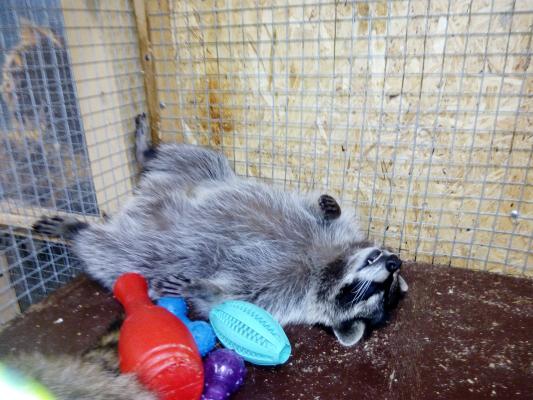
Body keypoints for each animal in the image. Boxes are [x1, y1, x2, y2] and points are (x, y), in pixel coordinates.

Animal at [34, 114, 408, 346]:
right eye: (384, 283)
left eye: (381, 293)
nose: (396, 263)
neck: (331, 264)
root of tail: (141, 199)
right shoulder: (337, 239)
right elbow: (324, 215)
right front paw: (330, 207)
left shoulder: (287, 293)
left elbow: (236, 295)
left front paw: (204, 287)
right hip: (198, 175)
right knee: (201, 160)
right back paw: (147, 152)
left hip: (146, 252)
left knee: (115, 252)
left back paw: (78, 230)